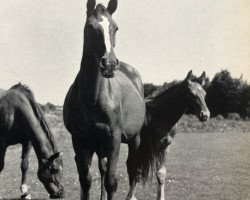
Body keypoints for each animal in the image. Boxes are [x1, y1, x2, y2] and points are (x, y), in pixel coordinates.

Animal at [62, 0, 145, 200]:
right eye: (90, 27)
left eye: (115, 28)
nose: (109, 64)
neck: (93, 98)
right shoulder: (80, 141)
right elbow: (86, 181)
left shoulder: (114, 139)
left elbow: (111, 183)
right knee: (103, 168)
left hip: (134, 139)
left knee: (133, 170)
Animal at [126, 70, 210, 200]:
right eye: (191, 94)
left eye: (204, 94)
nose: (205, 115)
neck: (159, 115)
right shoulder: (146, 146)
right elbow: (135, 169)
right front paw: (130, 196)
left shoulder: (165, 144)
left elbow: (161, 174)